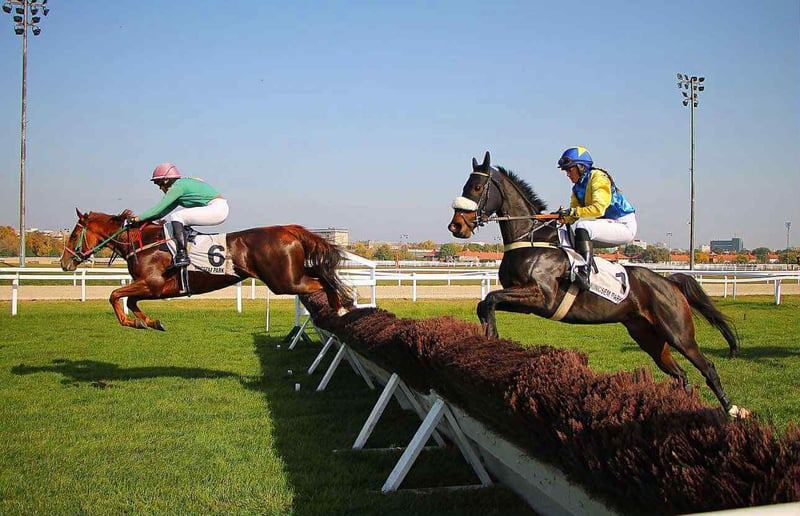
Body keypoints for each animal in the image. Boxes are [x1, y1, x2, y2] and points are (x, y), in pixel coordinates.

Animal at [60, 209, 352, 331]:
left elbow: (114, 295)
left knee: (324, 282)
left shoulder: (154, 284)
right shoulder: (155, 289)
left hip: (284, 281)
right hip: (289, 277)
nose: (65, 263)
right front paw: (149, 322)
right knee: (322, 277)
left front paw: (131, 322)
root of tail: (289, 229)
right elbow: (130, 301)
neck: (144, 243)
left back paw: (341, 307)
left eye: (73, 234)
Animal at [447, 152, 749, 418]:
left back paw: (732, 409)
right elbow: (485, 302)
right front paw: (487, 338)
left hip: (678, 333)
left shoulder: (541, 297)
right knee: (680, 374)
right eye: (464, 186)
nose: (456, 226)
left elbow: (490, 299)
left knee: (707, 366)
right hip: (648, 337)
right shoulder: (526, 302)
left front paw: (492, 336)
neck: (531, 240)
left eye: (476, 187)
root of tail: (668, 281)